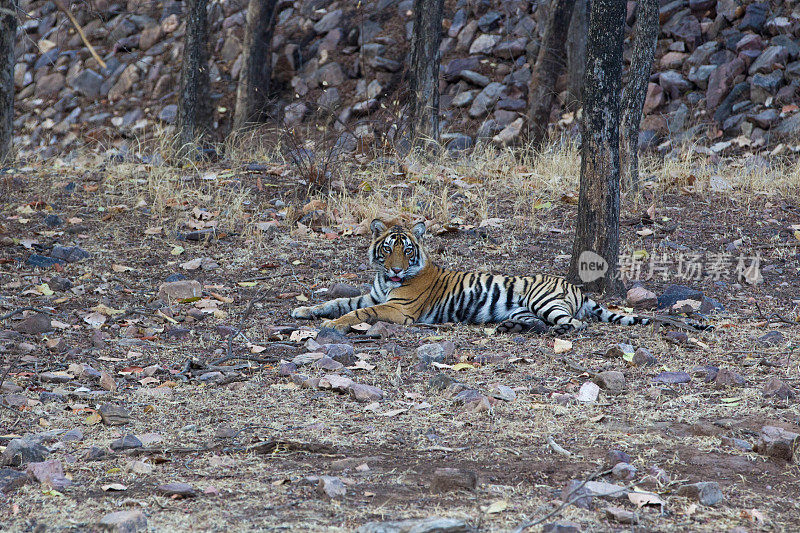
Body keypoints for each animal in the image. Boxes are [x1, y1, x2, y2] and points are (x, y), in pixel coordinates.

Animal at [290, 218, 664, 334]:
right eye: (388, 249)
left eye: (408, 250)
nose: (396, 268)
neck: (387, 281)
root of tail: (575, 287)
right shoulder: (373, 295)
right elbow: (340, 301)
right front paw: (304, 310)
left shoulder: (397, 309)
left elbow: (358, 313)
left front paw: (330, 325)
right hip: (527, 308)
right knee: (541, 322)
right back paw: (511, 327)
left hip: (543, 300)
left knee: (575, 324)